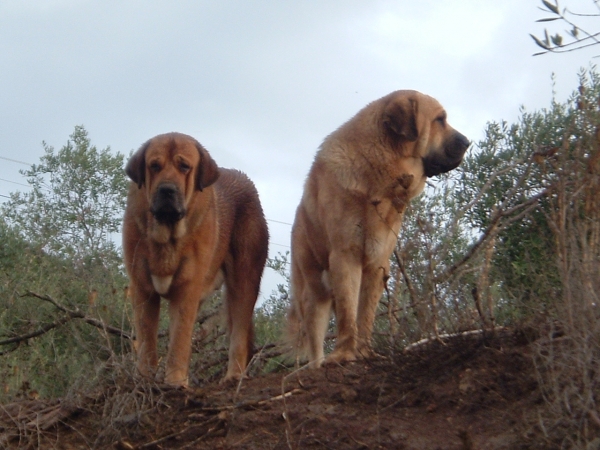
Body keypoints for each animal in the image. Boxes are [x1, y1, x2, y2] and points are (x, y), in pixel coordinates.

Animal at [123, 132, 268, 384]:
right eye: (154, 166)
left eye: (184, 166)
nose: (167, 190)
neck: (167, 235)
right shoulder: (143, 289)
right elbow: (147, 340)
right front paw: (145, 379)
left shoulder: (186, 290)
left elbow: (178, 341)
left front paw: (174, 382)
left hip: (244, 282)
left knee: (239, 337)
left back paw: (233, 377)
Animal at [288, 89, 472, 368]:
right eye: (439, 120)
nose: (468, 142)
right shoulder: (346, 256)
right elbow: (348, 313)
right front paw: (344, 354)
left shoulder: (377, 262)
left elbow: (365, 313)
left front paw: (363, 352)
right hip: (313, 287)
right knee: (314, 335)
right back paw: (317, 365)